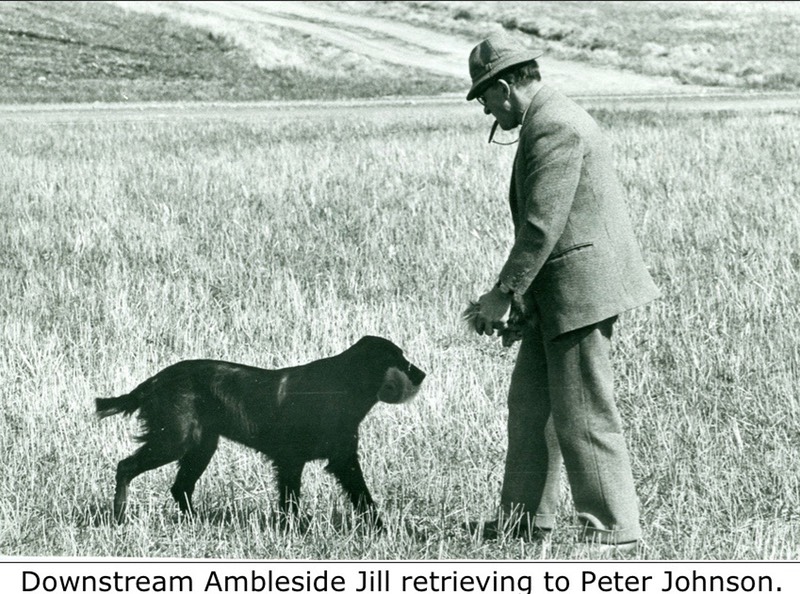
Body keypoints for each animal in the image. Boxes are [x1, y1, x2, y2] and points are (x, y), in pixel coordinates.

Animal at [94, 336, 424, 524]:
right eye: (398, 358)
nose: (421, 373)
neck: (340, 386)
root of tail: (155, 381)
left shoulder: (343, 459)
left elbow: (363, 497)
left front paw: (380, 529)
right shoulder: (291, 460)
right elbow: (290, 501)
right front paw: (294, 530)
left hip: (201, 446)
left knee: (181, 487)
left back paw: (196, 523)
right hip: (173, 440)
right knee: (126, 467)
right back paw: (119, 517)